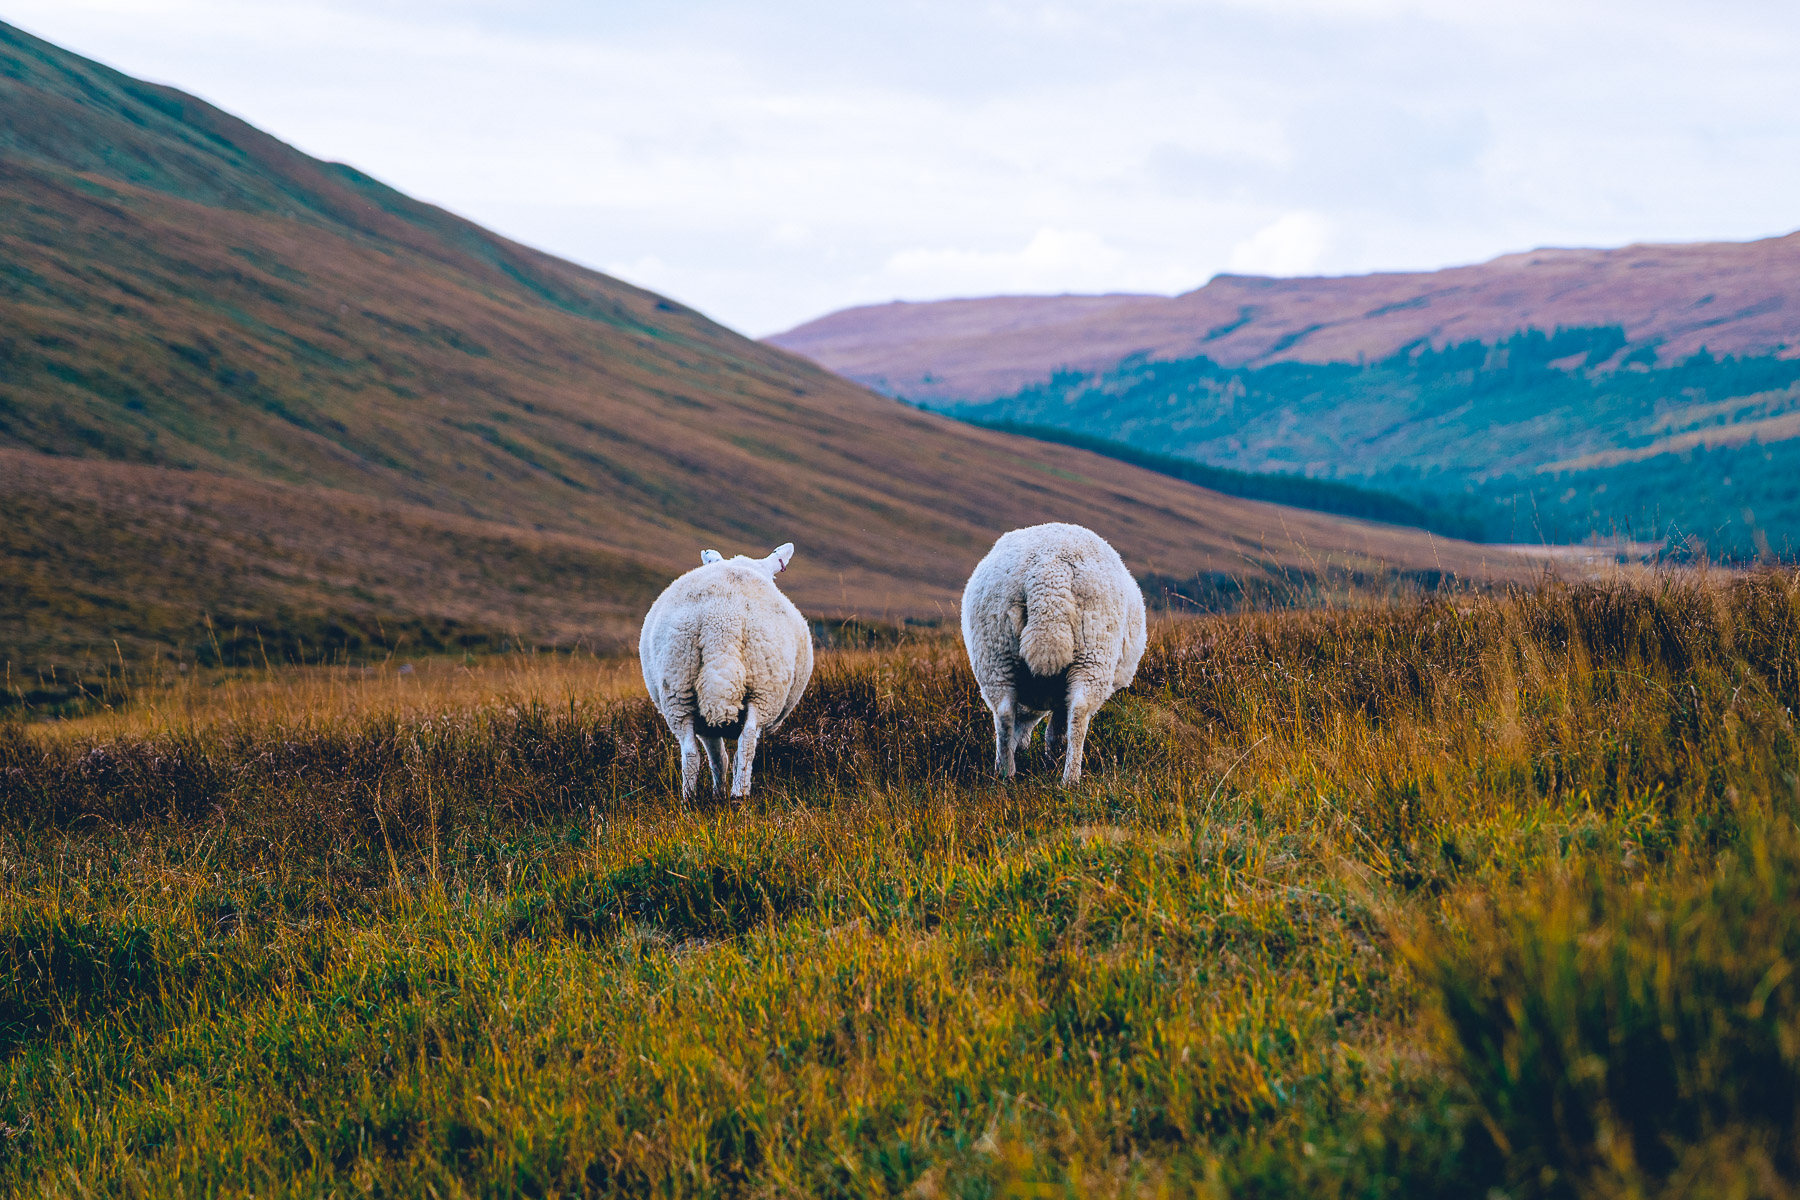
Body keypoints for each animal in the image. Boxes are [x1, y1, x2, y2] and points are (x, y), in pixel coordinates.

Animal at [640, 543, 817, 798]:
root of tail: (721, 621)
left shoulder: (705, 724)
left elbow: (717, 757)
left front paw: (717, 793)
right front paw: (723, 791)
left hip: (678, 691)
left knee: (690, 752)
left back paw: (689, 799)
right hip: (764, 689)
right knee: (747, 742)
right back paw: (739, 793)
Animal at [964, 521, 1144, 784]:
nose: (1022, 746)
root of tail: (1048, 572)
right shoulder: (1062, 692)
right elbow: (1057, 730)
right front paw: (1052, 761)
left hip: (994, 652)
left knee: (1004, 714)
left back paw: (1005, 772)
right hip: (1093, 653)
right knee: (1079, 713)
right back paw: (1070, 778)